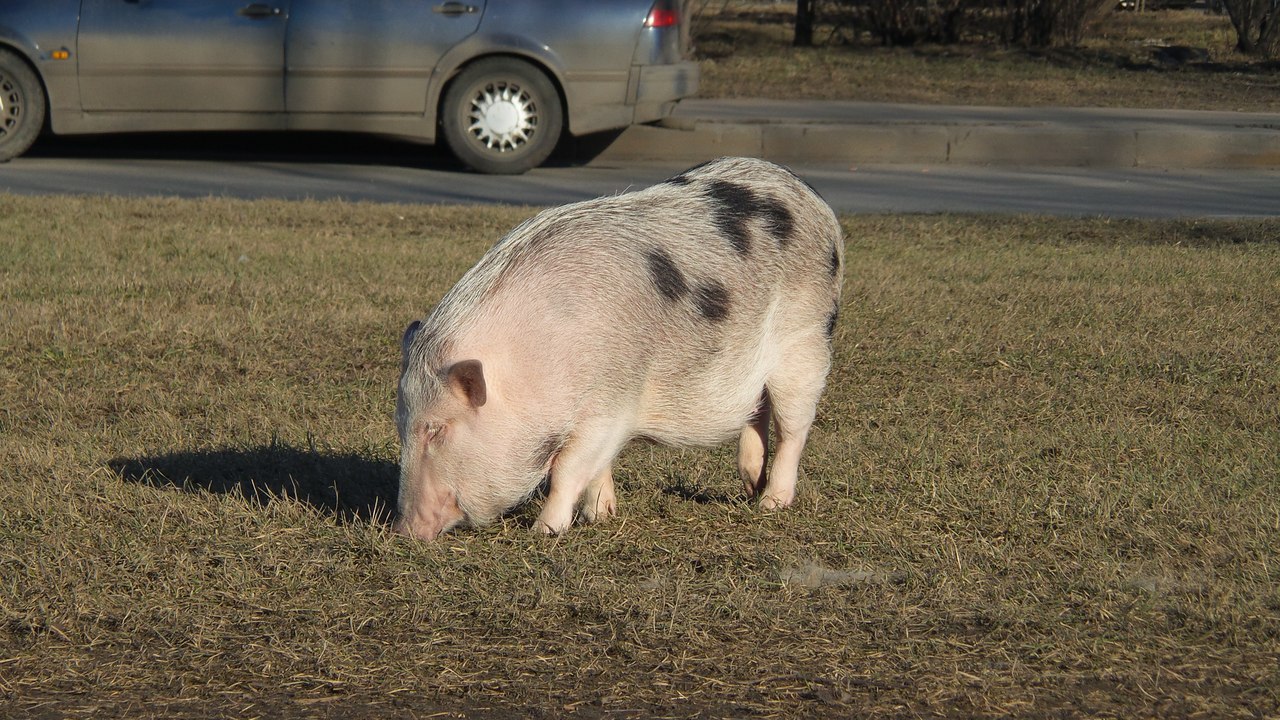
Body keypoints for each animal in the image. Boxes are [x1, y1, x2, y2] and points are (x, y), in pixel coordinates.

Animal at [394, 156, 844, 538]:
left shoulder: (610, 402)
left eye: (436, 429)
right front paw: (601, 516)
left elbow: (569, 468)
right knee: (758, 412)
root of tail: (812, 196)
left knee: (794, 427)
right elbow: (596, 466)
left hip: (806, 341)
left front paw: (545, 530)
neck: (535, 366)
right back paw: (751, 487)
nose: (403, 531)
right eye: (401, 425)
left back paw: (771, 504)